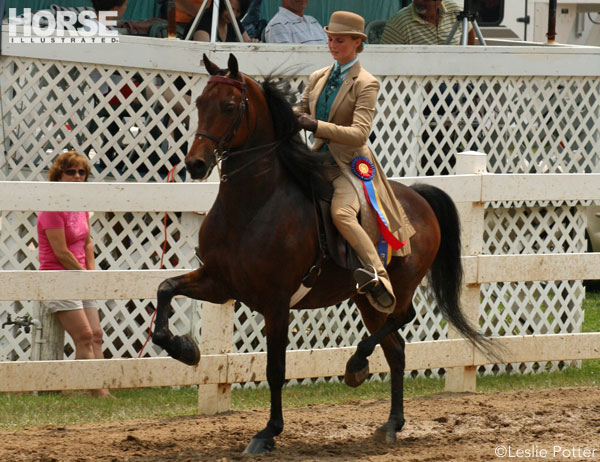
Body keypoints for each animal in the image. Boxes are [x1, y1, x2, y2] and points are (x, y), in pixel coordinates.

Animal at [152, 54, 494, 454]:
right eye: (200, 103)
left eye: (229, 106)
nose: (195, 164)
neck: (253, 205)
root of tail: (419, 196)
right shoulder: (220, 283)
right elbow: (165, 288)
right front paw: (183, 348)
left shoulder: (276, 302)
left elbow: (276, 369)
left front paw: (268, 432)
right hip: (367, 299)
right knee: (395, 349)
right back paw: (391, 423)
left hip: (399, 286)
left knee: (403, 318)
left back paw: (356, 366)